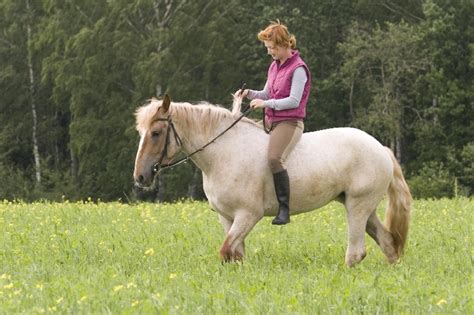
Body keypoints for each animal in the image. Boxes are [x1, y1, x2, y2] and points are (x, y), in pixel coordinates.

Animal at [132, 93, 412, 266]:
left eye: (156, 132)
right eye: (141, 131)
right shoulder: (227, 217)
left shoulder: (248, 214)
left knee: (356, 252)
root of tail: (381, 148)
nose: (140, 177)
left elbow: (226, 251)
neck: (223, 152)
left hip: (357, 206)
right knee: (388, 243)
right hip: (363, 208)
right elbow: (234, 255)